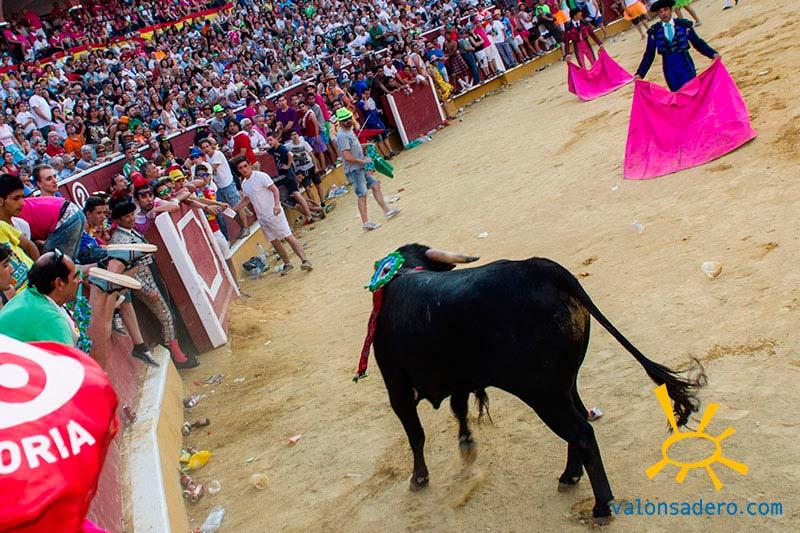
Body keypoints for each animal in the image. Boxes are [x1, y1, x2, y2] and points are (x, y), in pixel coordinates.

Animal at [369, 243, 707, 524]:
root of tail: (544, 269)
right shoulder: (461, 379)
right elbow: (459, 409)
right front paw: (466, 446)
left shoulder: (397, 389)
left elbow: (416, 434)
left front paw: (419, 478)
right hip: (564, 385)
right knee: (580, 421)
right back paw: (569, 476)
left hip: (543, 394)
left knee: (582, 433)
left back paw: (601, 507)